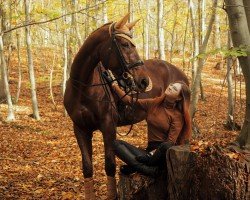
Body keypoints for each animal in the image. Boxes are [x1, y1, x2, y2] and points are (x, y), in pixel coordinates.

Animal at [63, 14, 188, 200]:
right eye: (125, 44)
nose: (144, 81)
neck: (83, 88)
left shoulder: (108, 127)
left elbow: (109, 165)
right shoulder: (80, 129)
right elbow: (87, 167)